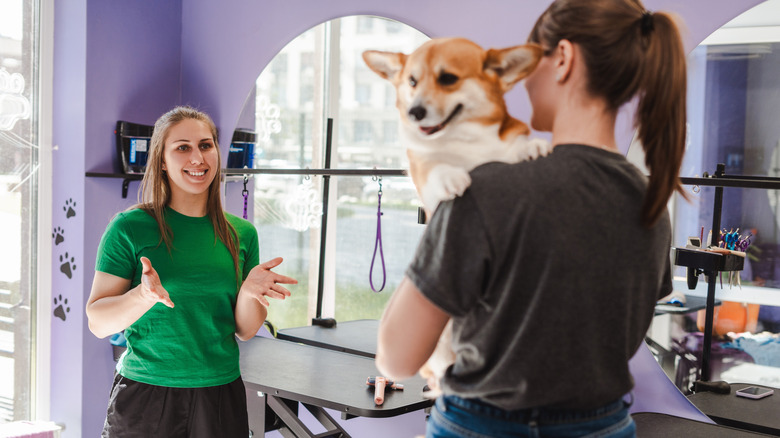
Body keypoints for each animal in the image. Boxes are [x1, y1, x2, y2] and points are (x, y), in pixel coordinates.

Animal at [364, 37, 548, 398]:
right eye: (412, 81)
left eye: (448, 78)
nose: (415, 112)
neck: (466, 143)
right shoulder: (422, 168)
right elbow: (436, 166)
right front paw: (451, 177)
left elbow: (515, 146)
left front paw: (531, 148)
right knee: (438, 374)